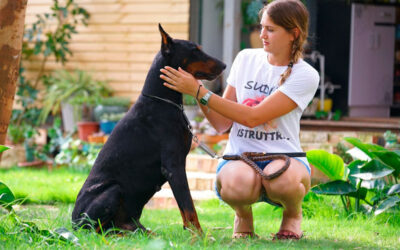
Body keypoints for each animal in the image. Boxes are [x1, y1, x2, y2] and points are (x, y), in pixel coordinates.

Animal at [71, 23, 225, 234]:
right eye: (195, 50)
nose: (224, 65)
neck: (162, 101)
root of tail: (72, 222)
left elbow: (186, 209)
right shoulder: (173, 165)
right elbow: (189, 207)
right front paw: (200, 236)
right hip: (112, 190)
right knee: (97, 230)